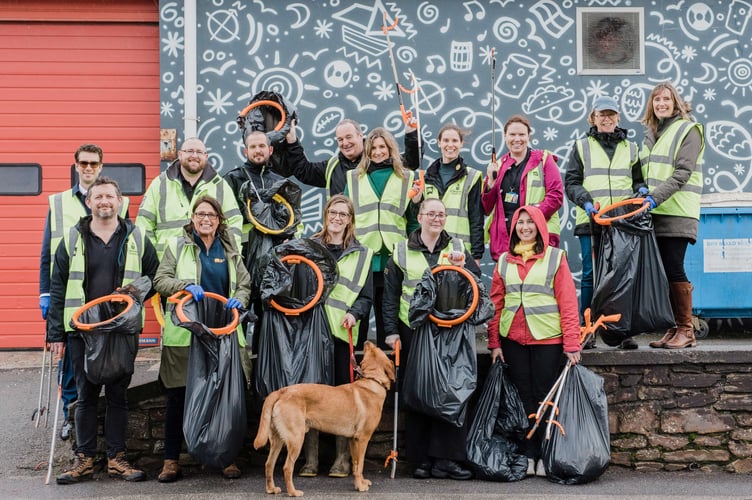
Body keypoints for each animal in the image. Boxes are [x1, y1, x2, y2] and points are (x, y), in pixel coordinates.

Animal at [254, 340, 396, 496]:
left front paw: (361, 482)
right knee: (287, 467)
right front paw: (360, 486)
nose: (367, 341)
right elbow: (360, 465)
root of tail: (281, 391)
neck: (372, 380)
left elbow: (356, 465)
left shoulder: (353, 440)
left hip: (277, 439)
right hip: (296, 438)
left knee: (269, 464)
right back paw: (293, 492)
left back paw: (271, 489)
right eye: (375, 349)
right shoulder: (362, 439)